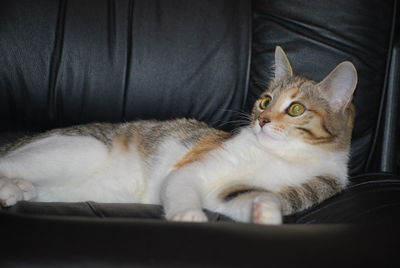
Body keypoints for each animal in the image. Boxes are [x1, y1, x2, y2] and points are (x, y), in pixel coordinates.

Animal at [0, 46, 356, 224]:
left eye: (295, 109)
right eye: (265, 101)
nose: (262, 121)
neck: (285, 155)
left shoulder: (235, 192)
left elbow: (244, 198)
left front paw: (265, 213)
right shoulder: (194, 166)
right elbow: (184, 187)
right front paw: (189, 215)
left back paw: (16, 190)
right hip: (79, 148)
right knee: (8, 163)